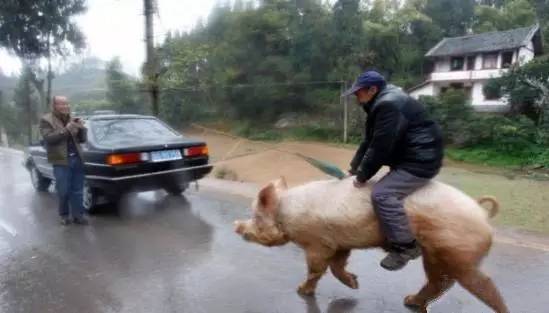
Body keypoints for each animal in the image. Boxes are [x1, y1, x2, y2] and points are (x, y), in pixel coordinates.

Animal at [233, 176, 508, 312]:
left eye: (255, 217)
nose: (237, 226)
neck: (287, 214)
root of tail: (482, 215)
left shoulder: (318, 242)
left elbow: (317, 268)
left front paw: (301, 291)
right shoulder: (339, 243)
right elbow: (337, 267)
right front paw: (355, 284)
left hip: (456, 251)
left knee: (480, 283)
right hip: (436, 254)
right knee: (440, 281)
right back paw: (410, 302)